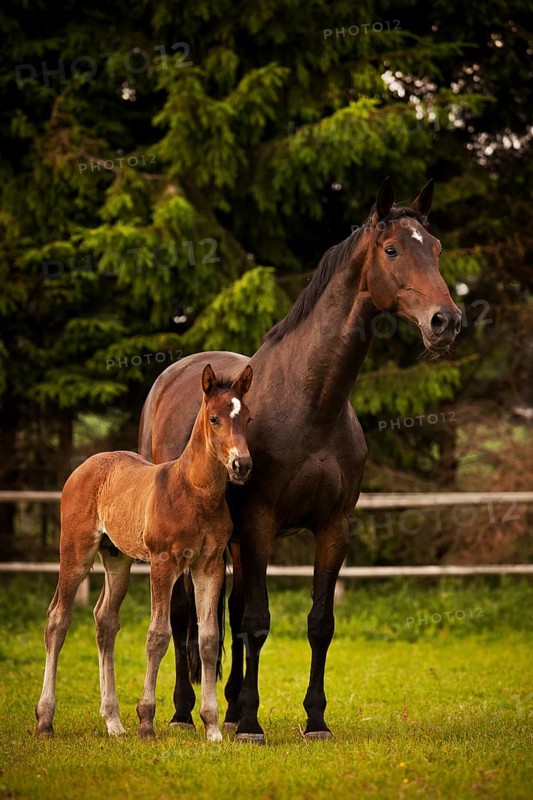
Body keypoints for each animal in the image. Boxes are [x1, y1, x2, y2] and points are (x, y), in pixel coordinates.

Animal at [36, 363, 253, 742]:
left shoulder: (208, 565)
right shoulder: (163, 563)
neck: (195, 493)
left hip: (117, 558)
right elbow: (158, 635)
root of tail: (87, 465)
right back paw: (46, 720)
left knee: (105, 621)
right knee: (58, 619)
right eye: (214, 418)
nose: (241, 465)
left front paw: (212, 727)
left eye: (248, 417)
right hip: (76, 551)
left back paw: (113, 722)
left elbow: (209, 639)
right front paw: (147, 721)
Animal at [138, 178, 462, 743]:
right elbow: (257, 621)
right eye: (393, 249)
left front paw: (314, 719)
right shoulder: (261, 526)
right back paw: (181, 712)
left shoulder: (333, 527)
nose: (446, 321)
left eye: (437, 249)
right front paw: (250, 723)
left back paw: (223, 705)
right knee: (182, 614)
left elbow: (318, 622)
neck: (309, 405)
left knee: (226, 611)